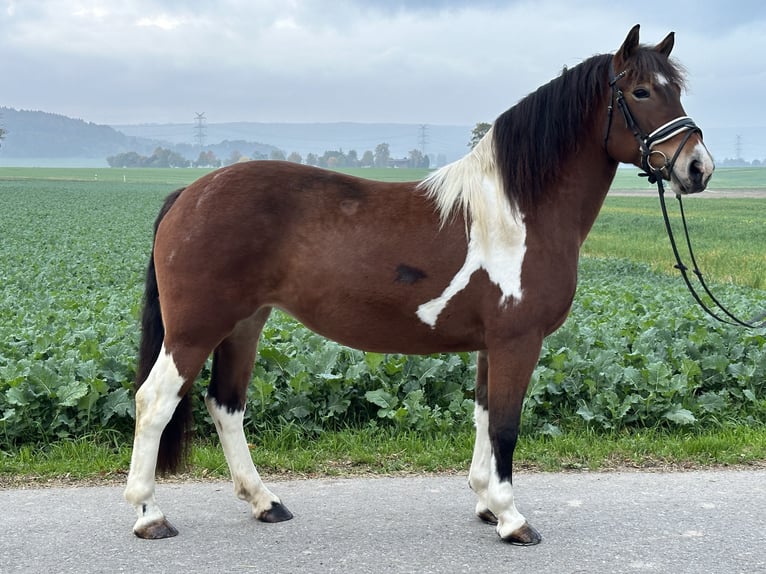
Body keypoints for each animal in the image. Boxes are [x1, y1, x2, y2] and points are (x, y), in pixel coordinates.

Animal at [123, 25, 716, 548]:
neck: (519, 211)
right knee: (154, 402)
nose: (698, 168)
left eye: (677, 89)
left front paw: (485, 503)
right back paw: (150, 515)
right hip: (196, 329)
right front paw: (512, 519)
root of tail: (189, 194)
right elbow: (506, 426)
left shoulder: (491, 345)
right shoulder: (518, 341)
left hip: (244, 323)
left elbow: (483, 416)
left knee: (226, 405)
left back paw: (265, 502)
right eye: (641, 91)